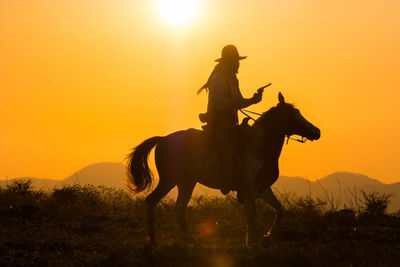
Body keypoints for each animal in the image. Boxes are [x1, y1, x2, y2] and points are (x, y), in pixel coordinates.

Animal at [126, 93, 320, 248]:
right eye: (293, 116)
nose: (317, 131)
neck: (258, 147)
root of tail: (162, 139)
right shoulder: (249, 189)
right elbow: (252, 215)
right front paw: (252, 242)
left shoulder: (263, 188)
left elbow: (280, 210)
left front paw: (266, 237)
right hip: (169, 179)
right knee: (151, 201)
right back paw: (153, 240)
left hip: (186, 182)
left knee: (179, 208)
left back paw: (190, 240)